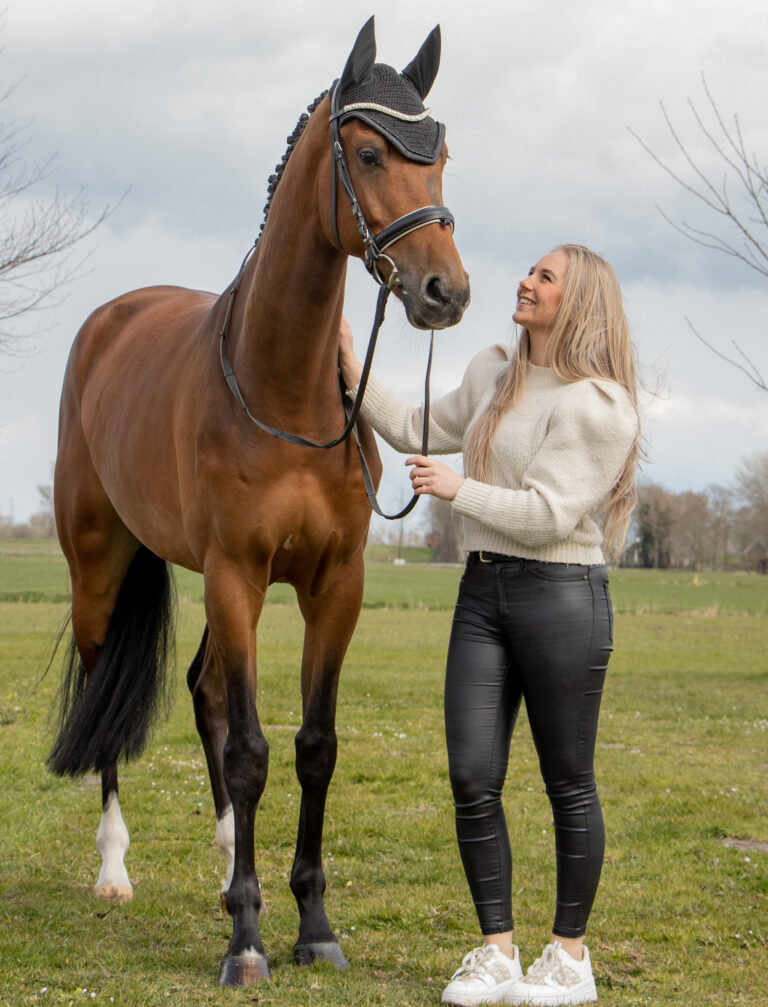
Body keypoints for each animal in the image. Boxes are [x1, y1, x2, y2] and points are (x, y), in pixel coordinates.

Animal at [49, 15, 469, 986]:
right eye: (367, 152)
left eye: (440, 156)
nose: (446, 291)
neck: (286, 392)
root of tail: (111, 318)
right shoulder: (237, 575)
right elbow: (249, 750)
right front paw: (245, 941)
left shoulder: (335, 585)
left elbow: (313, 746)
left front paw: (310, 919)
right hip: (100, 566)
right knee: (108, 699)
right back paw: (116, 869)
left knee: (206, 690)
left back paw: (225, 860)